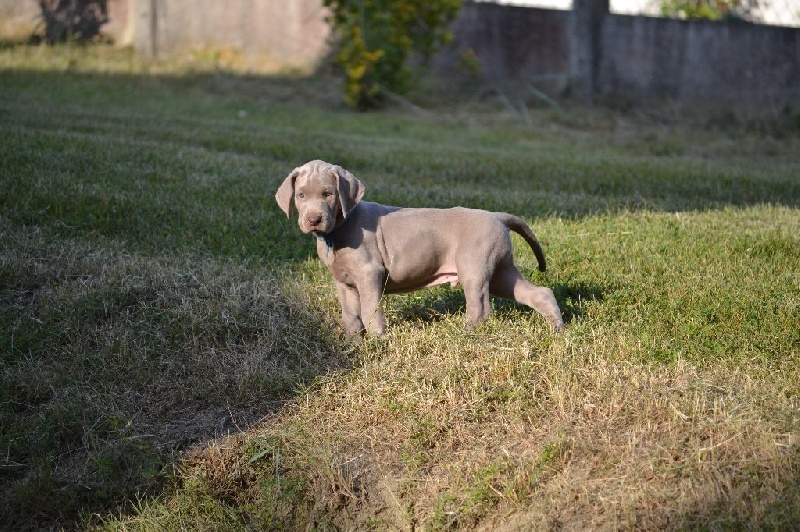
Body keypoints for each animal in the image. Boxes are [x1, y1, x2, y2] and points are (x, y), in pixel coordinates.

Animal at [276, 158, 564, 336]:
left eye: (328, 194)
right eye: (301, 195)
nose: (313, 220)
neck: (337, 231)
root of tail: (498, 216)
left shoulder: (370, 274)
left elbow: (370, 310)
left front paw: (379, 342)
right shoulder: (344, 283)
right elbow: (351, 315)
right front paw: (353, 343)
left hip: (474, 267)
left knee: (481, 307)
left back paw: (467, 334)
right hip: (502, 272)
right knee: (539, 293)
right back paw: (557, 328)